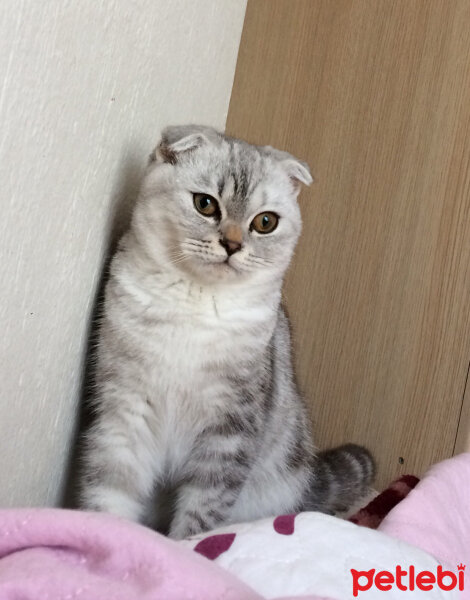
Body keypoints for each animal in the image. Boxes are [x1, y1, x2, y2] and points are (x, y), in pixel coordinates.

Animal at [81, 125, 374, 540]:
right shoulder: (124, 411)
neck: (194, 302)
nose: (232, 244)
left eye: (265, 222)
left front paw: (186, 547)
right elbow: (109, 493)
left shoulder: (230, 431)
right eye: (205, 204)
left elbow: (201, 513)